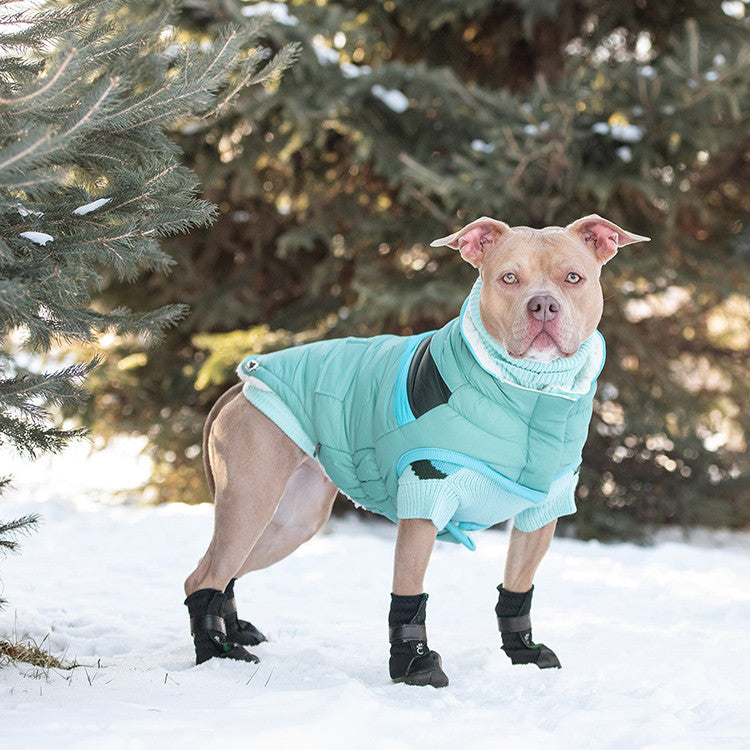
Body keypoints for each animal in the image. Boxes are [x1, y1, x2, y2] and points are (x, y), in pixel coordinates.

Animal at [185, 213, 648, 688]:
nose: (542, 306)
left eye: (573, 278)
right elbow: (408, 595)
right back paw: (216, 650)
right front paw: (414, 664)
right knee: (204, 574)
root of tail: (244, 383)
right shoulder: (425, 495)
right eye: (509, 278)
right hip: (252, 501)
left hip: (290, 522)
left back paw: (232, 632)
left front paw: (522, 650)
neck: (531, 394)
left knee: (223, 571)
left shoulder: (544, 510)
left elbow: (517, 590)